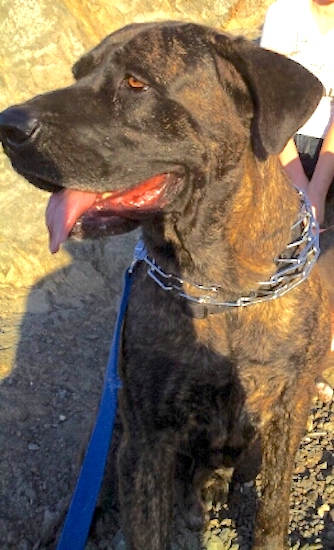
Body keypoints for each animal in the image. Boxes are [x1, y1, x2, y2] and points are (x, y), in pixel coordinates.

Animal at [0, 21, 332, 550]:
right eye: (77, 74)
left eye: (136, 83)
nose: (7, 126)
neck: (218, 287)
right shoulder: (146, 439)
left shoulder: (288, 408)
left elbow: (273, 508)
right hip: (115, 423)